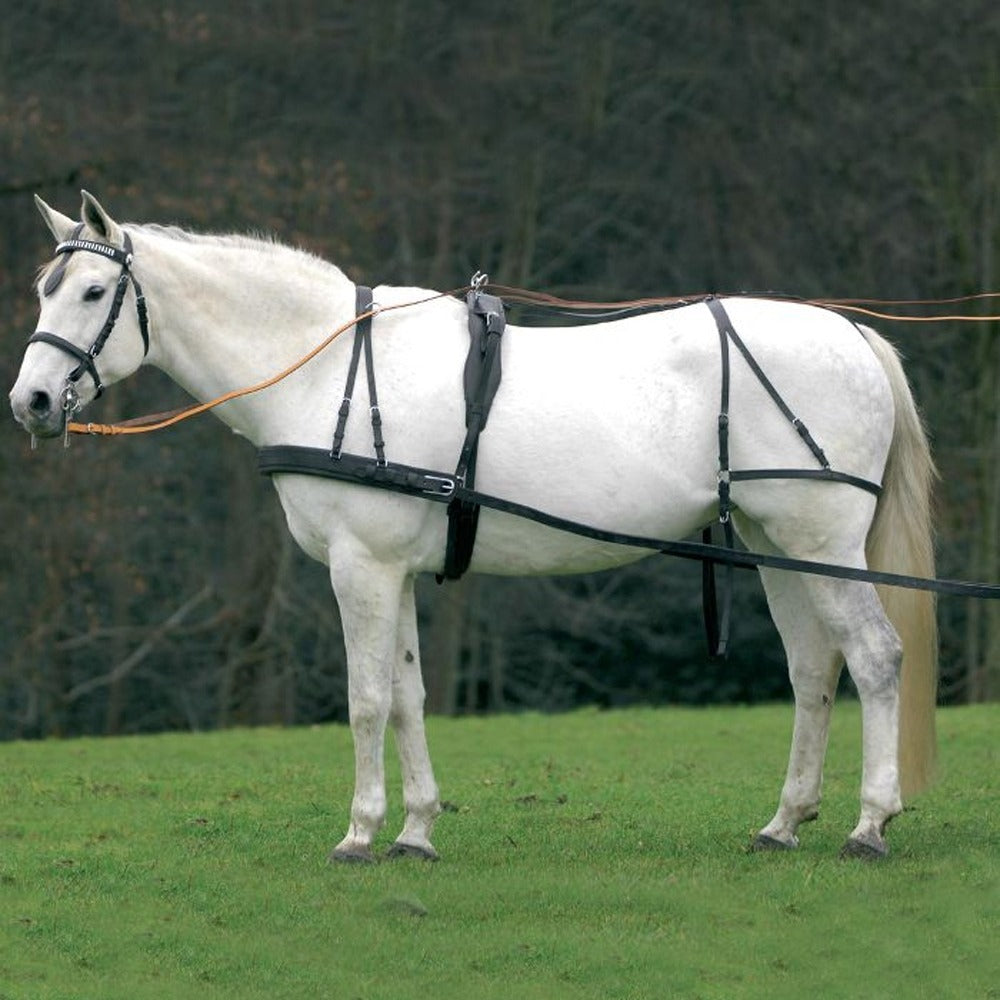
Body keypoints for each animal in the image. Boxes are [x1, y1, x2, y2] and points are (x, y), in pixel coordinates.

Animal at [10, 192, 937, 861]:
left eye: (94, 292)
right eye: (44, 291)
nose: (30, 402)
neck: (327, 368)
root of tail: (852, 332)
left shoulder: (361, 568)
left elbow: (366, 699)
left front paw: (359, 833)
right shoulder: (396, 571)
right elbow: (409, 697)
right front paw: (416, 831)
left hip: (823, 545)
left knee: (876, 659)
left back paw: (869, 824)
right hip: (781, 549)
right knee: (814, 670)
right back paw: (785, 821)